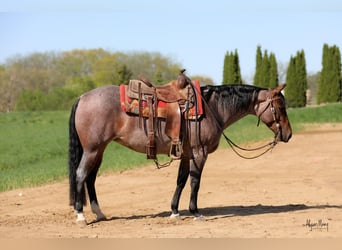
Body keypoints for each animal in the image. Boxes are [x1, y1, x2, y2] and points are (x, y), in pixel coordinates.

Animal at [69, 77, 292, 223]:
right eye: (280, 107)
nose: (288, 134)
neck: (212, 108)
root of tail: (82, 97)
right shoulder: (199, 153)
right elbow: (195, 182)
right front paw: (195, 212)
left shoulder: (186, 153)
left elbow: (181, 180)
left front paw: (175, 211)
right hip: (92, 149)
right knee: (81, 175)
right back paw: (81, 215)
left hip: (99, 150)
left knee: (91, 178)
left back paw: (99, 213)